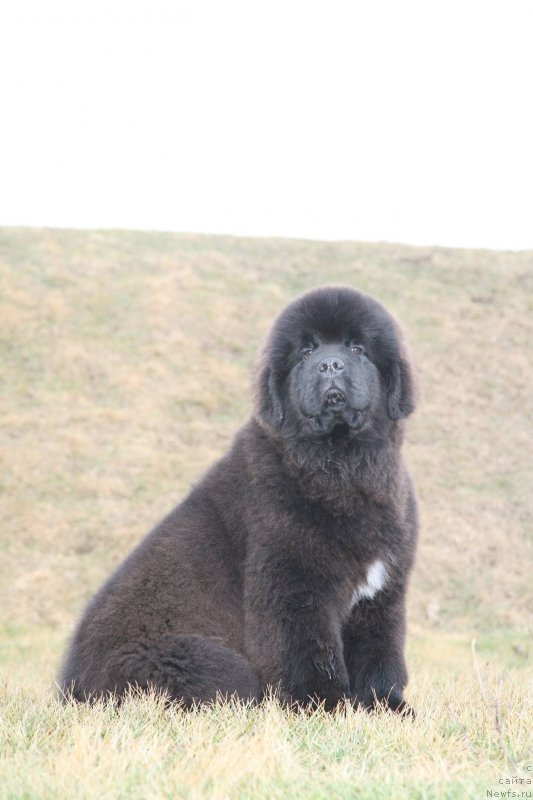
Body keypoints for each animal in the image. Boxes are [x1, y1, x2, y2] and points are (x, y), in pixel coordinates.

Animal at [60, 286, 418, 712]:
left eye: (357, 348)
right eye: (305, 352)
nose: (330, 365)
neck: (340, 464)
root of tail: (71, 687)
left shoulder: (381, 593)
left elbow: (378, 652)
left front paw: (386, 706)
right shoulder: (293, 585)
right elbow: (311, 652)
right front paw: (325, 705)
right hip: (213, 665)